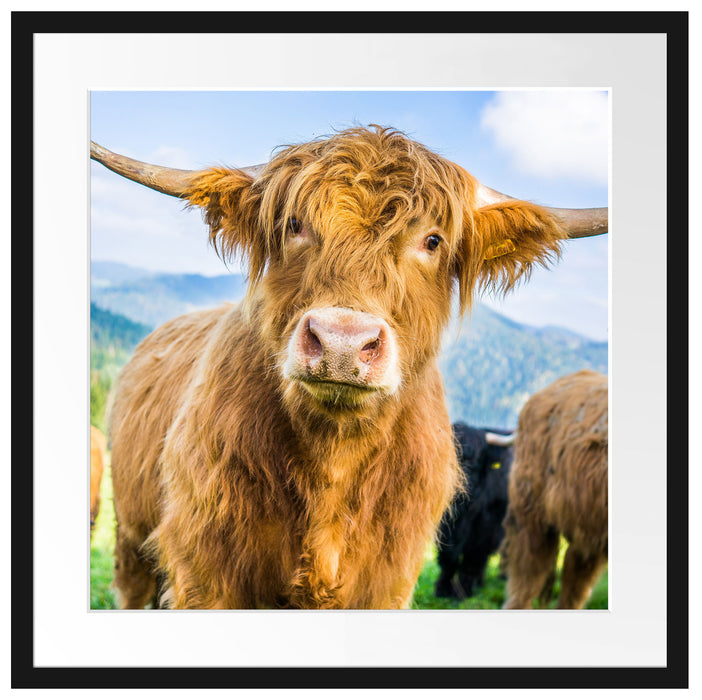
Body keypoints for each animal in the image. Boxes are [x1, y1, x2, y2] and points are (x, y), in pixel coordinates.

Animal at [434, 423, 514, 599]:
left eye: (475, 462)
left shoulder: (486, 528)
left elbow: (472, 560)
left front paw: (462, 593)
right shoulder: (445, 527)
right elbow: (448, 557)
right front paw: (442, 590)